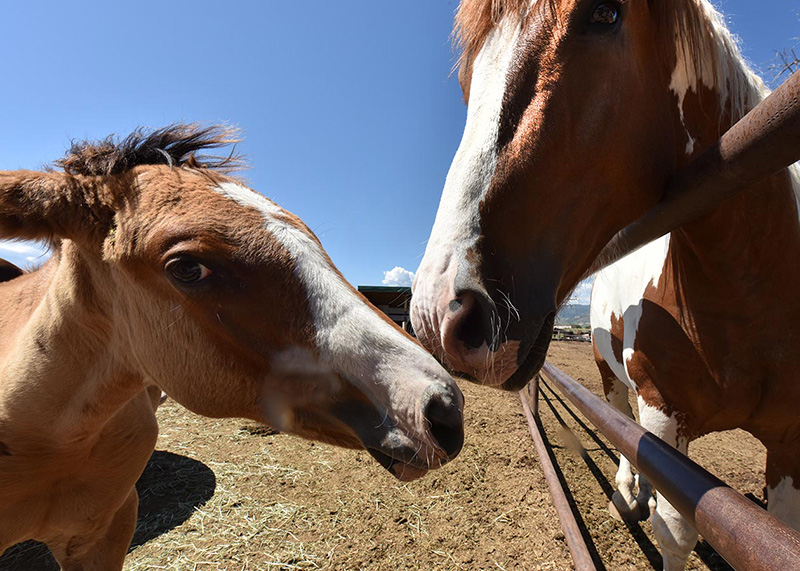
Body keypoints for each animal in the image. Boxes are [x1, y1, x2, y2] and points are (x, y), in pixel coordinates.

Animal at [412, 2, 800, 568]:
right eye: (468, 79)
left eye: (605, 13)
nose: (439, 315)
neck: (749, 293)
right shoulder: (663, 411)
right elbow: (673, 530)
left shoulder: (791, 441)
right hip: (612, 377)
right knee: (622, 428)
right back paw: (628, 489)